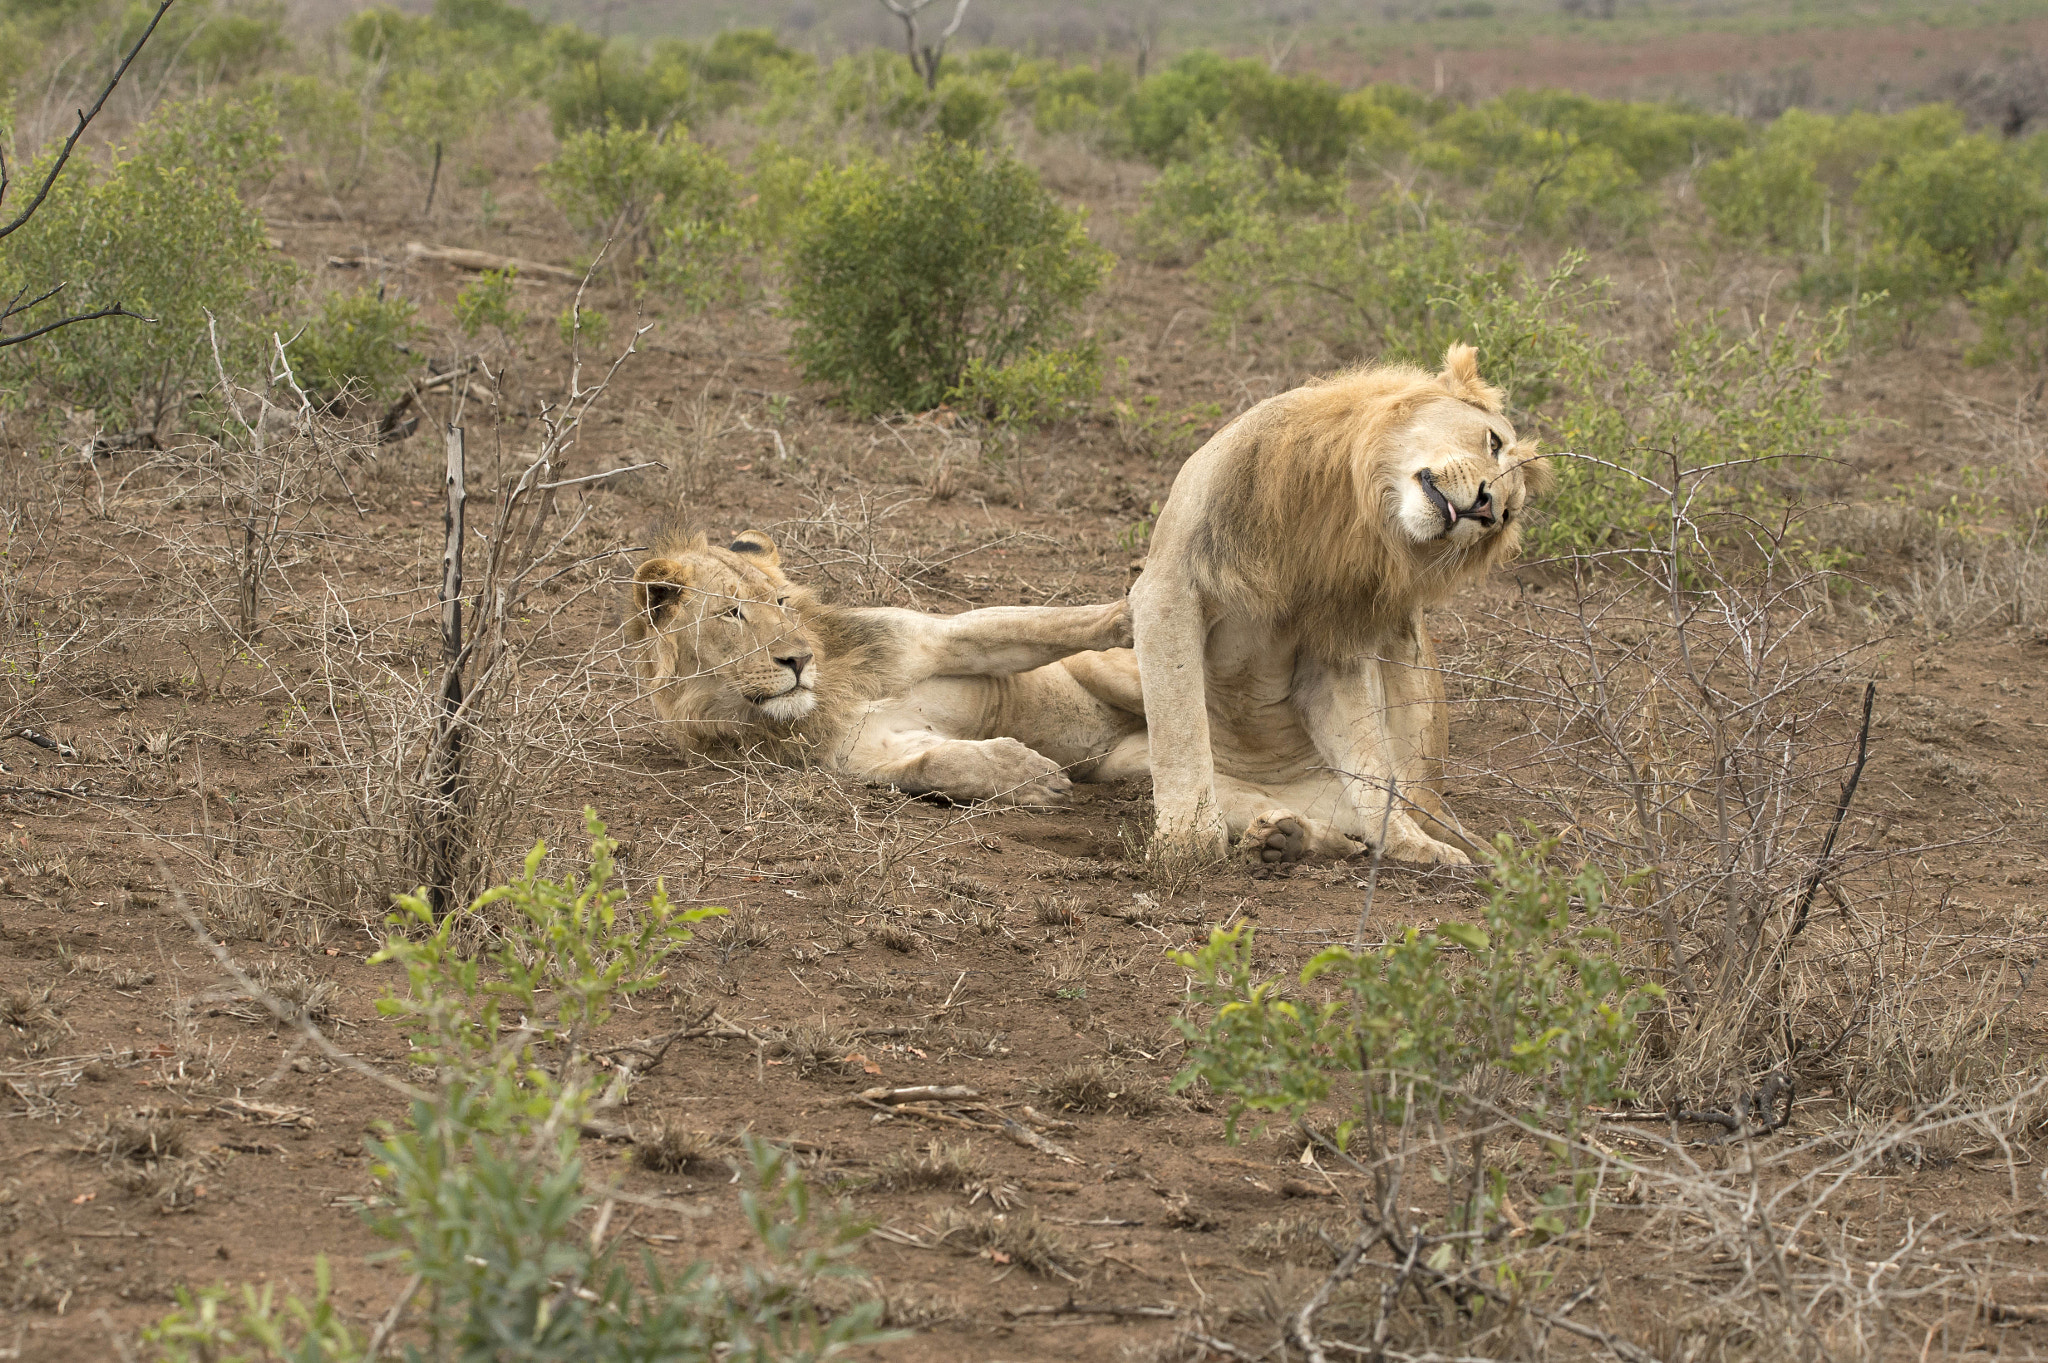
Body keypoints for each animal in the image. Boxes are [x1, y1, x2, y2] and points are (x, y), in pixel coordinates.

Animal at [626, 530, 1148, 806]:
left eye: (781, 602)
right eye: (731, 614)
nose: (799, 660)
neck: (826, 694)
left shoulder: (932, 638)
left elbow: (1040, 625)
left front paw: (1126, 616)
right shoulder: (865, 754)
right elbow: (940, 764)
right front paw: (1029, 774)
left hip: (1114, 678)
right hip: (1124, 764)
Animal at [1127, 344, 1551, 865]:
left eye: (1508, 516)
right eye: (1492, 443)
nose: (1488, 509)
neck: (1350, 499)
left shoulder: (1334, 640)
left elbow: (1367, 763)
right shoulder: (1171, 589)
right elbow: (1180, 730)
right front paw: (1186, 844)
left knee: (1376, 817)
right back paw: (1277, 836)